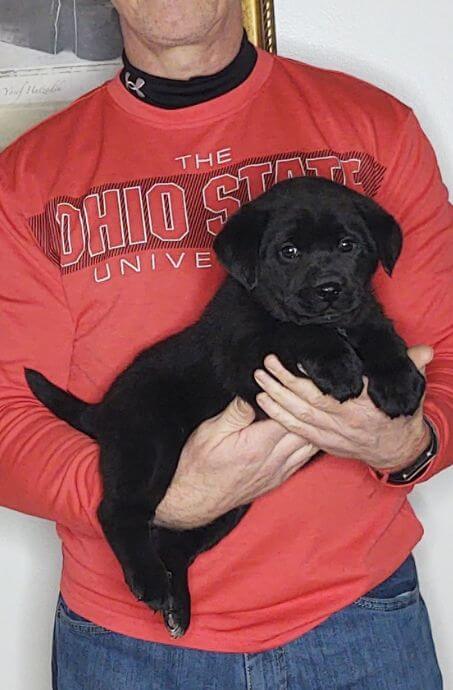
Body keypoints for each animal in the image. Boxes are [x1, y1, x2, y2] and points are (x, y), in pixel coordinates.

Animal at [25, 176, 424, 636]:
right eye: (289, 252)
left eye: (348, 246)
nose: (329, 290)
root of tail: (104, 408)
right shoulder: (245, 354)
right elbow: (290, 330)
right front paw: (338, 364)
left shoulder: (363, 311)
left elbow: (378, 330)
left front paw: (401, 381)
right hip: (150, 444)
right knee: (118, 511)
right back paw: (150, 581)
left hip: (228, 505)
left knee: (173, 544)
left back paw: (177, 605)